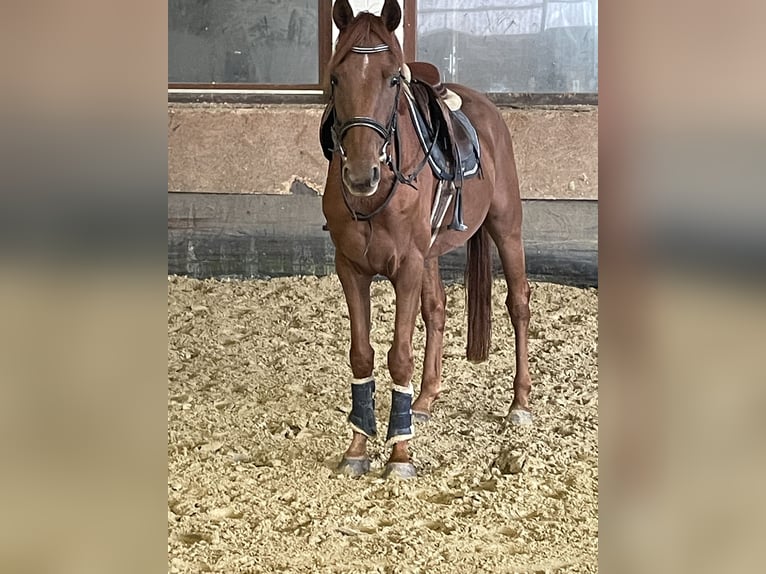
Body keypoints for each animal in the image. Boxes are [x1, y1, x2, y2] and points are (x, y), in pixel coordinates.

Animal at [320, 0, 532, 480]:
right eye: (336, 77)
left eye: (392, 79)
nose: (360, 174)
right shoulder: (350, 268)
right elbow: (361, 354)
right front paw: (357, 448)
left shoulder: (407, 267)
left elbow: (400, 355)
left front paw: (400, 454)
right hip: (433, 252)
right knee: (437, 311)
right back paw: (425, 399)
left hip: (506, 227)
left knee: (519, 304)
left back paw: (520, 402)